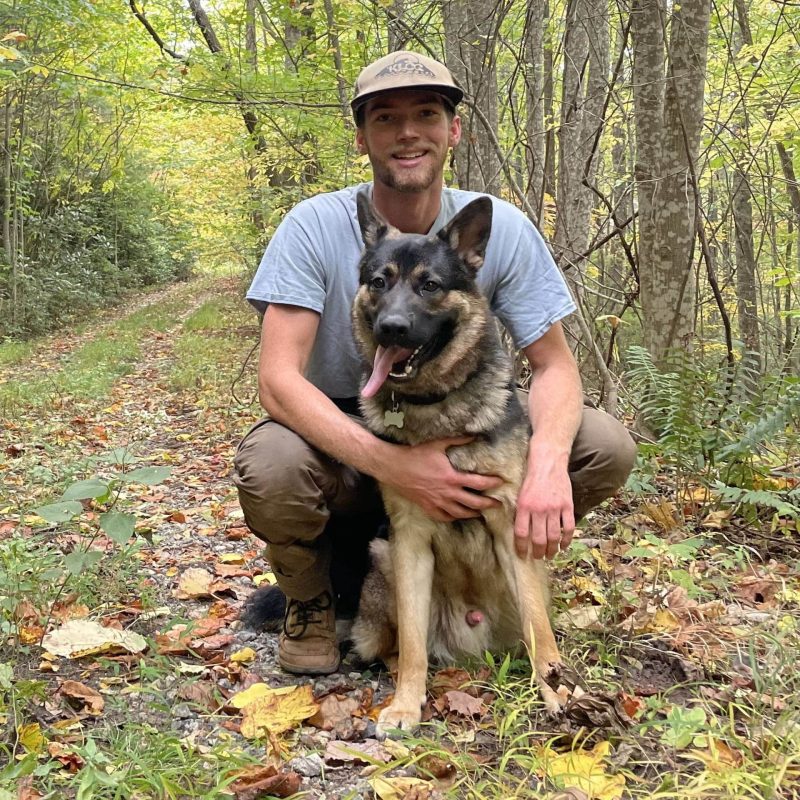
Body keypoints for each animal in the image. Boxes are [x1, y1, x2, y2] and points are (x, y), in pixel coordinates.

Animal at [348, 192, 564, 736]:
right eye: (378, 282)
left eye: (430, 285)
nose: (391, 329)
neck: (436, 408)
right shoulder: (408, 539)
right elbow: (412, 648)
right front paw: (406, 703)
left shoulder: (513, 525)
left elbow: (539, 626)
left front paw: (556, 690)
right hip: (382, 557)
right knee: (399, 646)